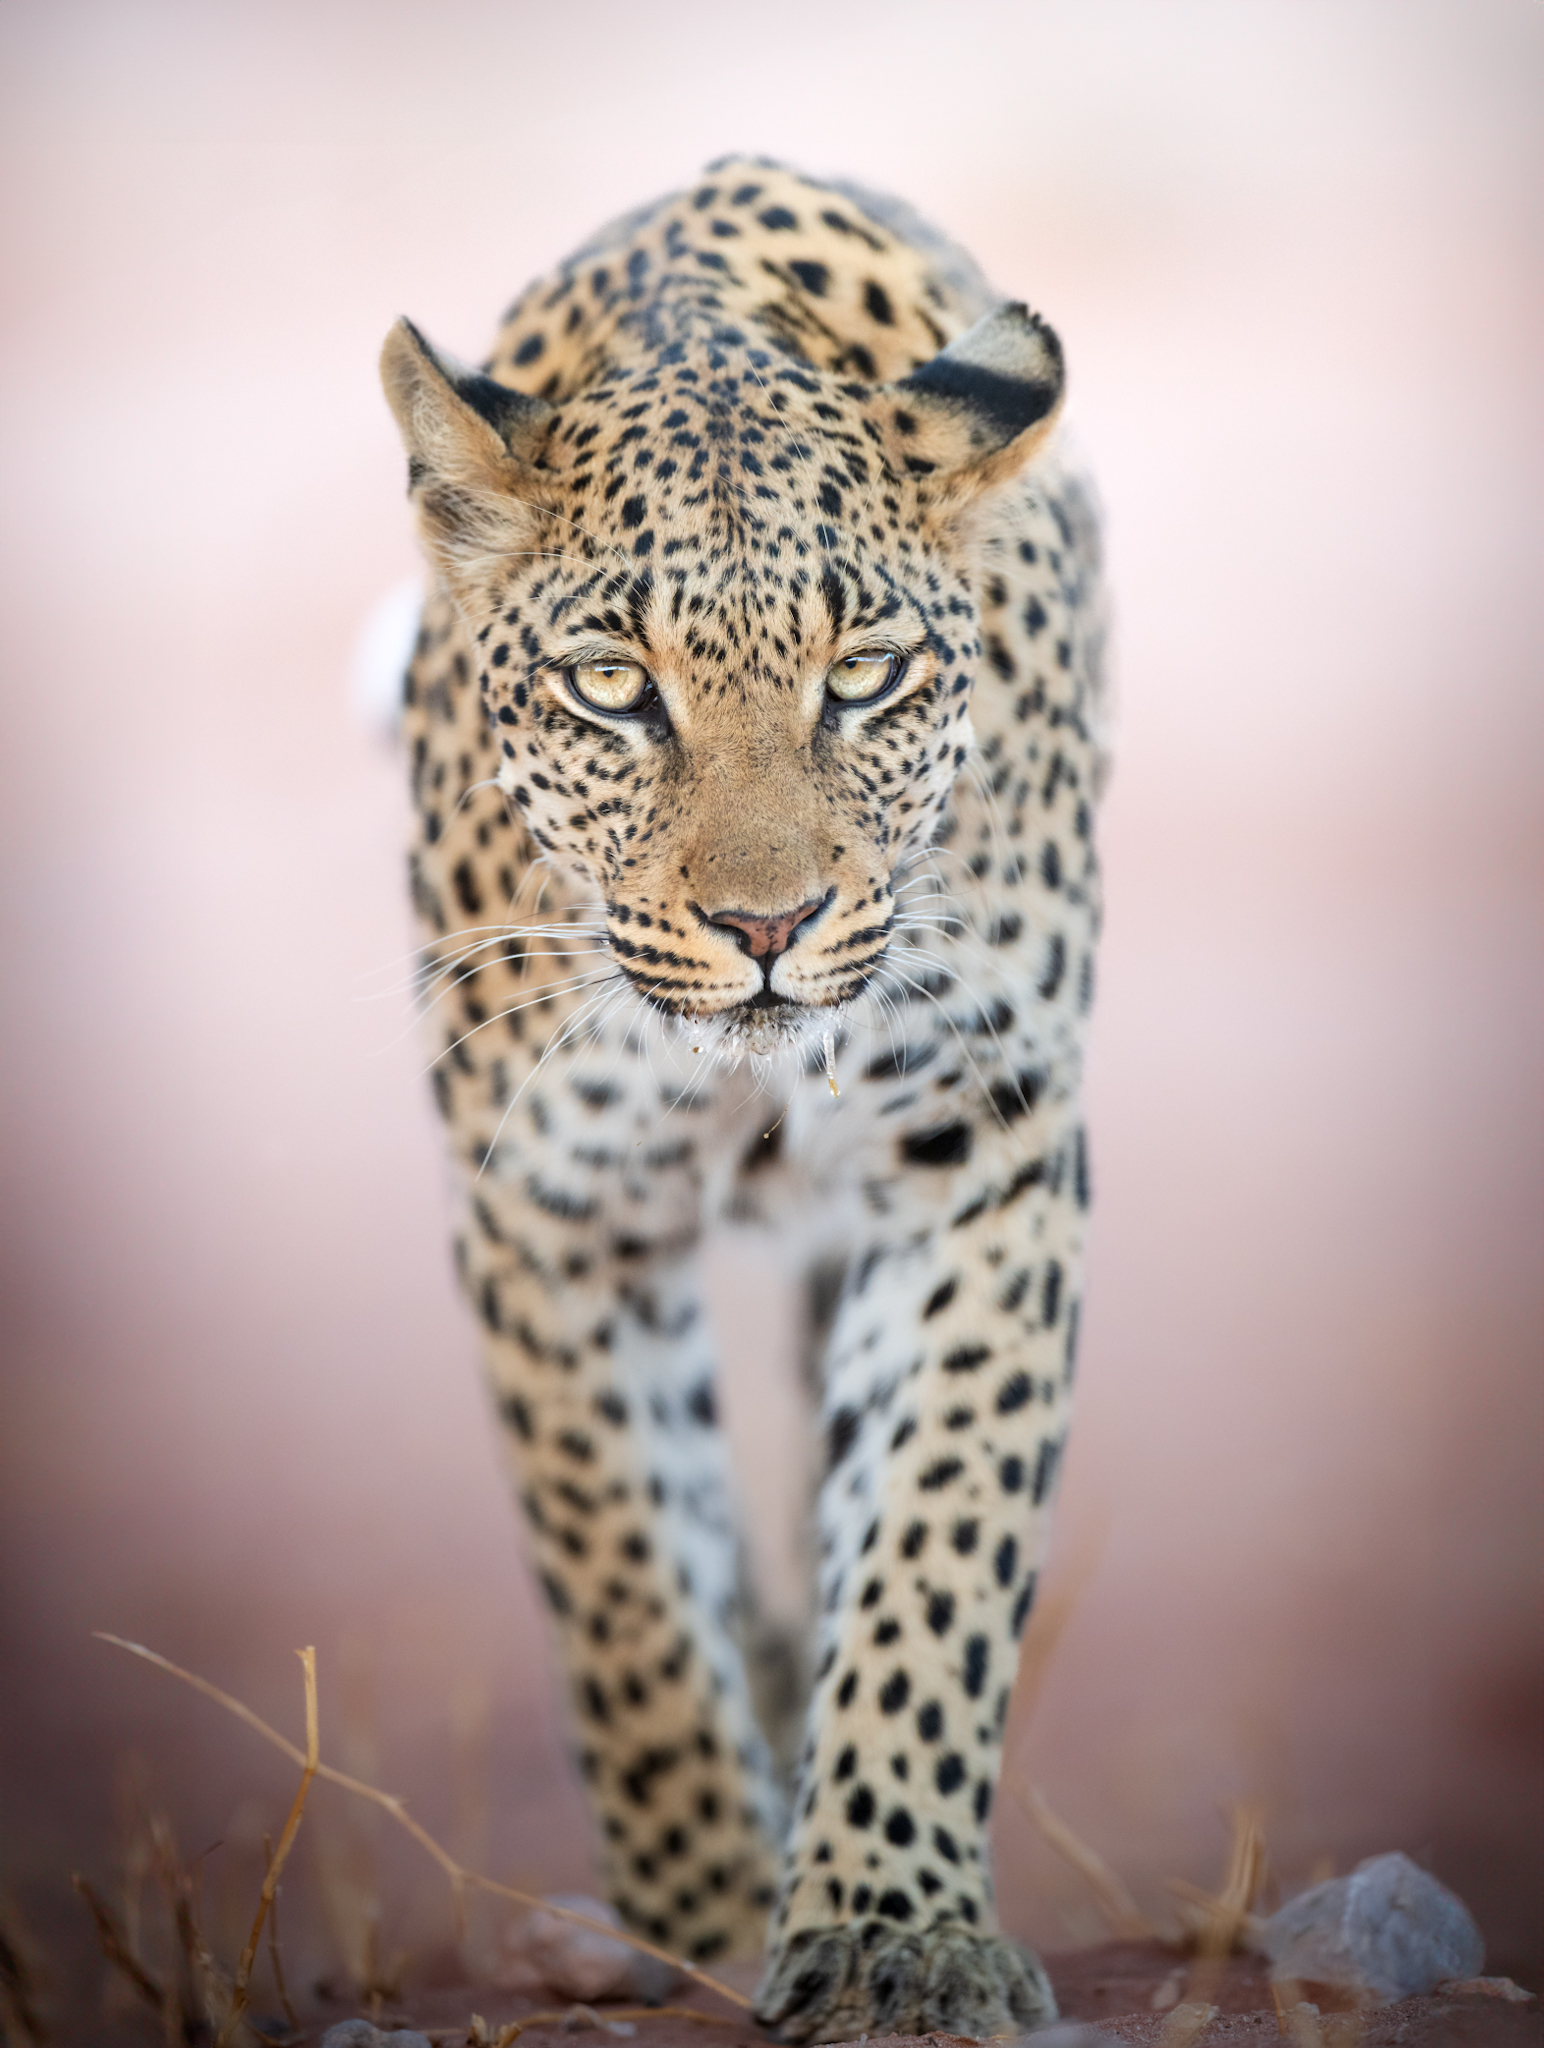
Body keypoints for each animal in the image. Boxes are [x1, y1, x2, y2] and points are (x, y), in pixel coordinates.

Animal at [380, 157, 1106, 2043]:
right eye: (612, 689)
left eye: (861, 677)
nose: (767, 928)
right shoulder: (547, 1209)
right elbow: (626, 1580)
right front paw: (703, 1904)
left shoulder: (979, 1160)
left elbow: (932, 1541)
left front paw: (890, 1927)